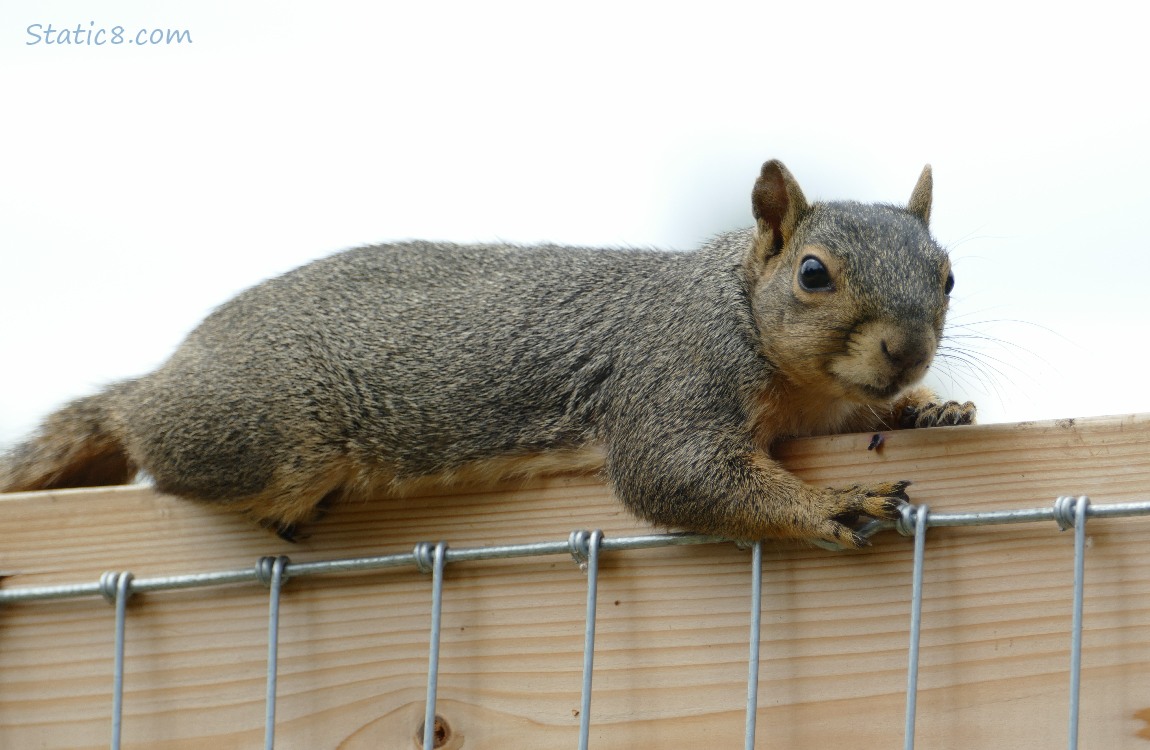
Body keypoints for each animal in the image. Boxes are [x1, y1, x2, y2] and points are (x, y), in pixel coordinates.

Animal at [0, 159, 974, 548]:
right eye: (813, 274)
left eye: (949, 276)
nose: (906, 351)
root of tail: (163, 377)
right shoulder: (672, 378)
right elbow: (676, 472)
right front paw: (830, 501)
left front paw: (930, 408)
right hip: (258, 434)